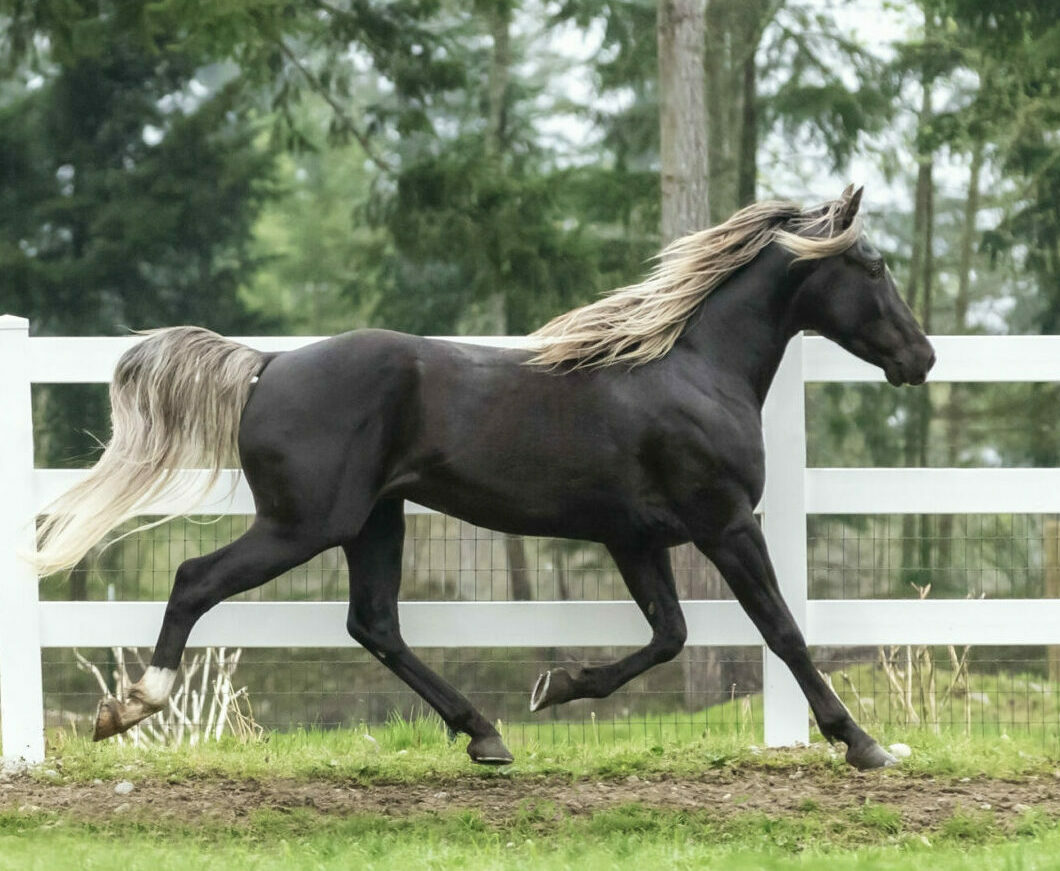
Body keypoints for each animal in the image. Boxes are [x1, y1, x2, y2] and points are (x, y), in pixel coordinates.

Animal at [37, 189, 937, 771]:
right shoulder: (724, 522)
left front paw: (556, 685)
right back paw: (130, 705)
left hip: (376, 521)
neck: (692, 370)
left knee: (375, 623)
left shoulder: (634, 537)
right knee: (196, 579)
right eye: (873, 264)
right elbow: (781, 630)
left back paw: (485, 732)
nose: (922, 357)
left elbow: (669, 635)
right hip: (305, 523)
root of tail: (268, 364)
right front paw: (864, 743)